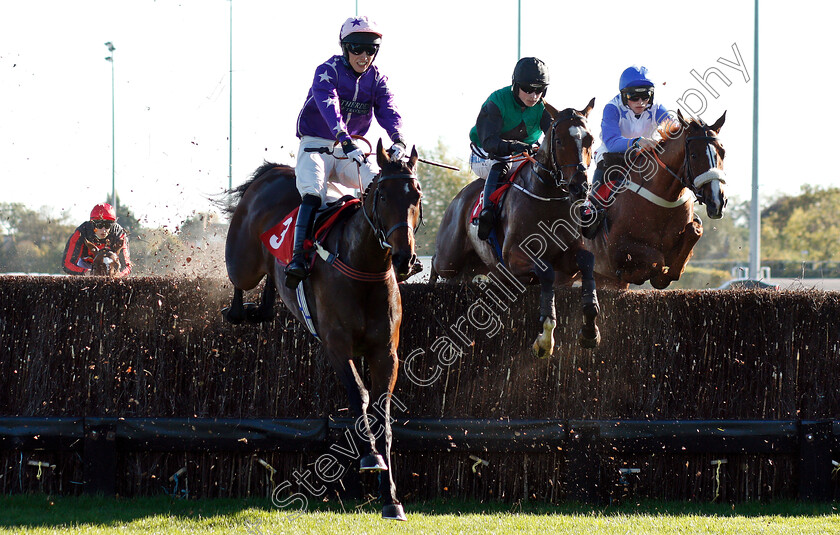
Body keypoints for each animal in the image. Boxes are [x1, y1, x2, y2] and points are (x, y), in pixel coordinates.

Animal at [221, 140, 424, 520]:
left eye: (417, 195)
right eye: (383, 195)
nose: (404, 258)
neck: (364, 266)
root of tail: (274, 171)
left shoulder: (386, 353)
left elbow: (383, 414)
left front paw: (390, 497)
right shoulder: (336, 346)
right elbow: (359, 395)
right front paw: (369, 456)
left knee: (274, 278)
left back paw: (266, 304)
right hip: (242, 260)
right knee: (242, 278)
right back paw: (239, 311)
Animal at [430, 101, 600, 358]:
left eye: (590, 139)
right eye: (559, 140)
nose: (580, 187)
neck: (548, 197)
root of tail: (458, 198)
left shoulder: (567, 264)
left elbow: (587, 261)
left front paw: (590, 330)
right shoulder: (514, 258)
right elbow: (546, 272)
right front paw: (544, 339)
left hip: (472, 269)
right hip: (450, 258)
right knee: (435, 263)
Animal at [584, 110, 728, 292]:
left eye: (723, 152)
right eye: (694, 155)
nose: (717, 201)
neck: (663, 202)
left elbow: (694, 231)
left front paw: (665, 275)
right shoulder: (616, 249)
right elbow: (656, 259)